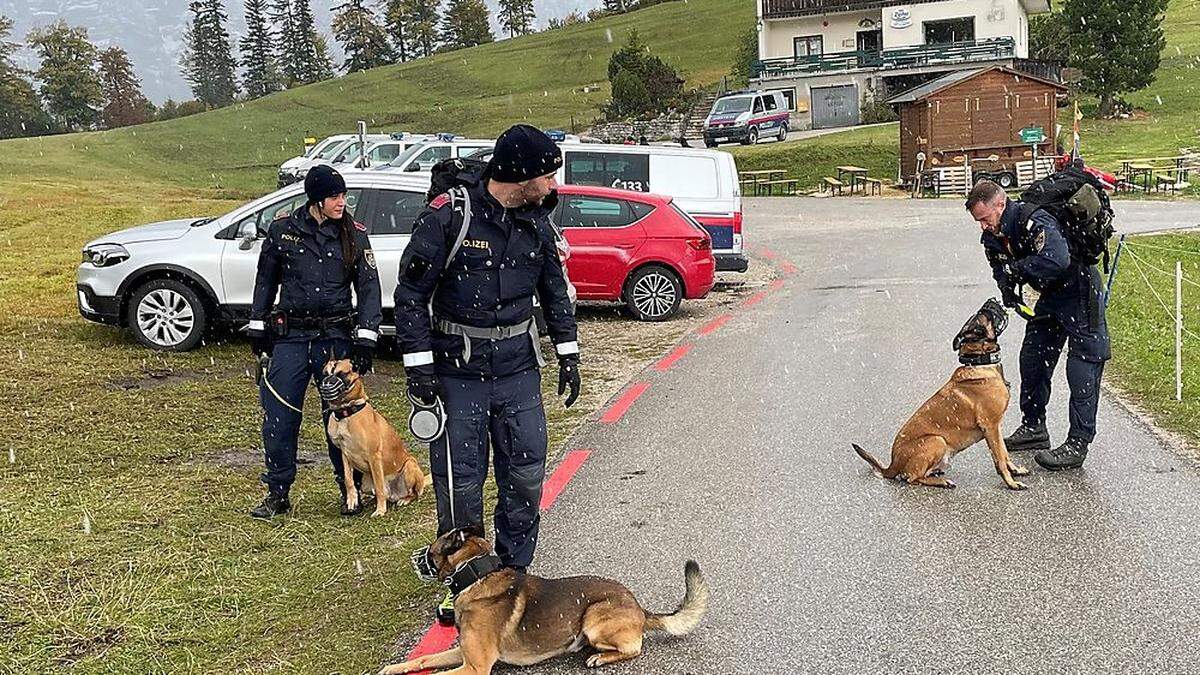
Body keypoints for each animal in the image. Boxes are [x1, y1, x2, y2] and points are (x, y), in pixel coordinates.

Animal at [321, 360, 429, 511]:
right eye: (325, 374)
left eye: (341, 373)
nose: (325, 385)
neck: (346, 412)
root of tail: (394, 495)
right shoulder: (345, 455)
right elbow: (349, 480)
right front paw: (352, 500)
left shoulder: (374, 457)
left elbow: (379, 487)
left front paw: (380, 510)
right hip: (366, 483)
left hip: (409, 466)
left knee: (412, 494)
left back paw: (403, 500)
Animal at [379, 526, 705, 672]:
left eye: (431, 549)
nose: (414, 560)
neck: (476, 576)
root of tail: (639, 607)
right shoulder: (465, 654)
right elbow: (423, 659)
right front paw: (391, 669)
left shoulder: (475, 667)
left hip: (593, 619)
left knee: (633, 649)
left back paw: (599, 657)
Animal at [854, 295, 1032, 487]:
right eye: (985, 313)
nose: (992, 299)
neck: (979, 362)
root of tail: (892, 465)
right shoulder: (990, 426)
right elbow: (999, 457)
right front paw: (1011, 483)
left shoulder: (997, 427)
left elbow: (1004, 453)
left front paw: (1015, 471)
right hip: (936, 440)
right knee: (912, 477)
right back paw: (942, 482)